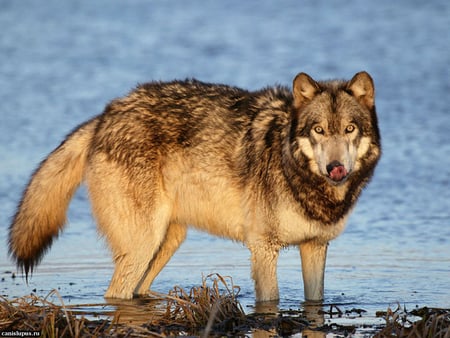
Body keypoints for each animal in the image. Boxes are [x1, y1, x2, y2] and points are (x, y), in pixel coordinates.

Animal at [7, 70, 380, 302]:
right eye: (319, 130)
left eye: (349, 129)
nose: (335, 168)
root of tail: (107, 113)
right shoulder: (262, 249)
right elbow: (270, 301)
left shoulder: (315, 247)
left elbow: (315, 301)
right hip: (143, 243)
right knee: (116, 293)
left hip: (167, 241)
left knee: (137, 291)